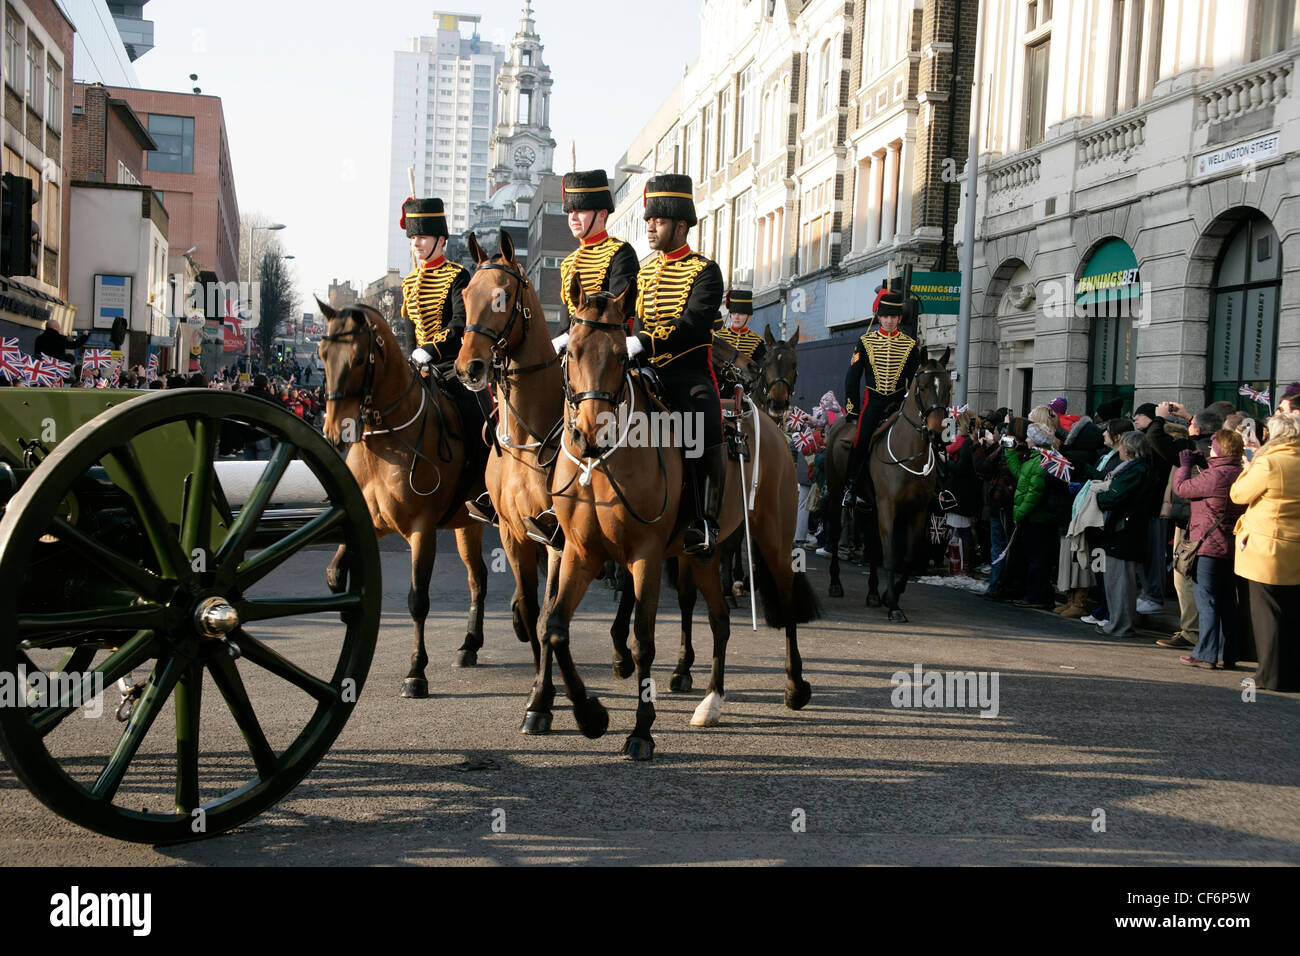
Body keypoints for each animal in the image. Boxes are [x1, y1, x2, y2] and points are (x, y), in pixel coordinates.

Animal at [317, 299, 488, 697]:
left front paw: (416, 671)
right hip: (467, 525)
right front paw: (346, 604)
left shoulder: (421, 530)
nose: (333, 431)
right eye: (322, 353)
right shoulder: (371, 521)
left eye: (358, 359)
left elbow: (417, 600)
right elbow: (334, 571)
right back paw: (469, 645)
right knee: (478, 578)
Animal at [543, 277, 816, 764]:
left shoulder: (646, 556)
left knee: (784, 604)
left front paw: (641, 731)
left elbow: (643, 638)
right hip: (705, 554)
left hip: (772, 538)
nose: (592, 433)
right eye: (571, 351)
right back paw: (712, 701)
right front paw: (590, 716)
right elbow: (556, 629)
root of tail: (772, 426)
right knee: (721, 620)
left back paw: (793, 686)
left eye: (620, 355)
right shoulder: (581, 552)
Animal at [826, 351, 951, 621]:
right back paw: (835, 583)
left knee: (873, 546)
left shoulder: (918, 511)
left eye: (948, 386)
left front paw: (887, 595)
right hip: (836, 492)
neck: (910, 453)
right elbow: (892, 555)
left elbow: (909, 557)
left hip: (873, 506)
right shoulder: (889, 506)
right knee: (834, 533)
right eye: (923, 387)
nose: (936, 433)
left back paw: (873, 593)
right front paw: (894, 605)